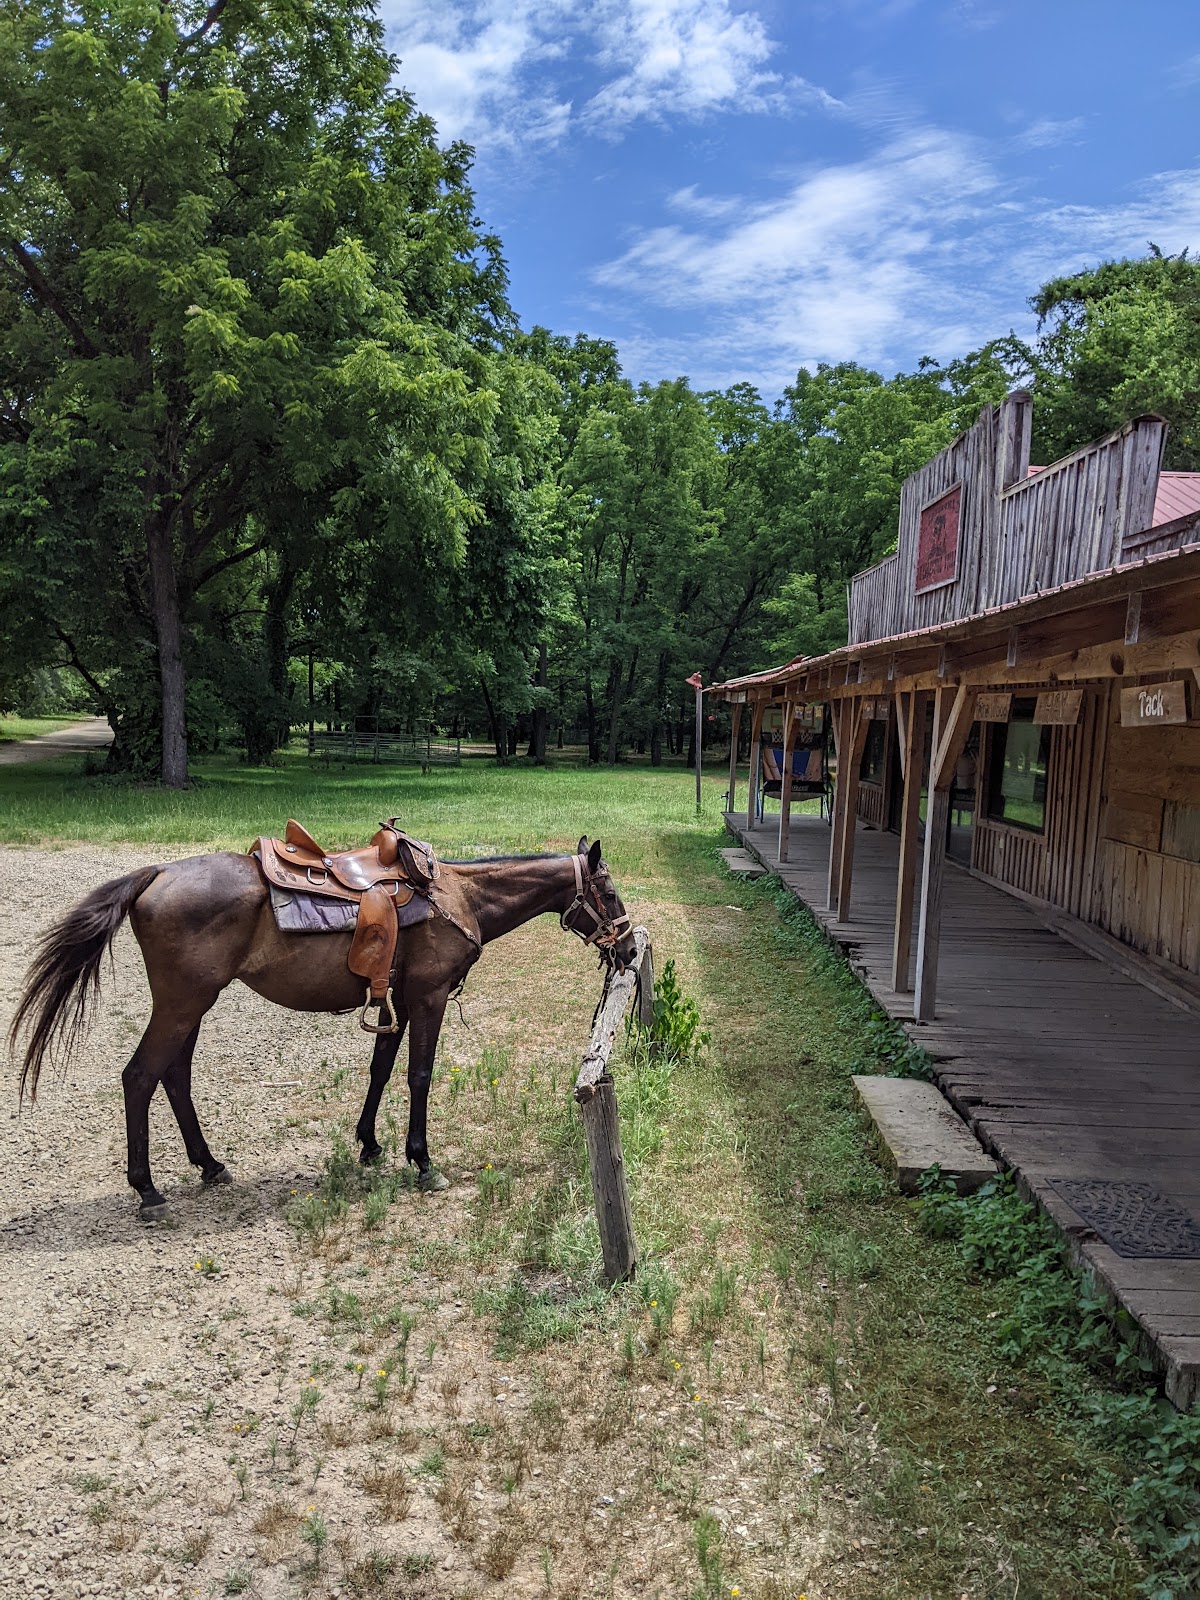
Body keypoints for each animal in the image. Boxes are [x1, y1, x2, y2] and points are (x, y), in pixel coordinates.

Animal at [9, 834, 637, 1218]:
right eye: (608, 891)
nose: (630, 949)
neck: (461, 897)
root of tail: (158, 872)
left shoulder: (397, 1000)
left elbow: (381, 1071)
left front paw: (370, 1144)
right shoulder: (428, 999)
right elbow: (419, 1076)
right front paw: (422, 1161)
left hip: (192, 1005)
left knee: (174, 1076)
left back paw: (210, 1166)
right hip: (181, 1003)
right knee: (140, 1076)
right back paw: (148, 1190)